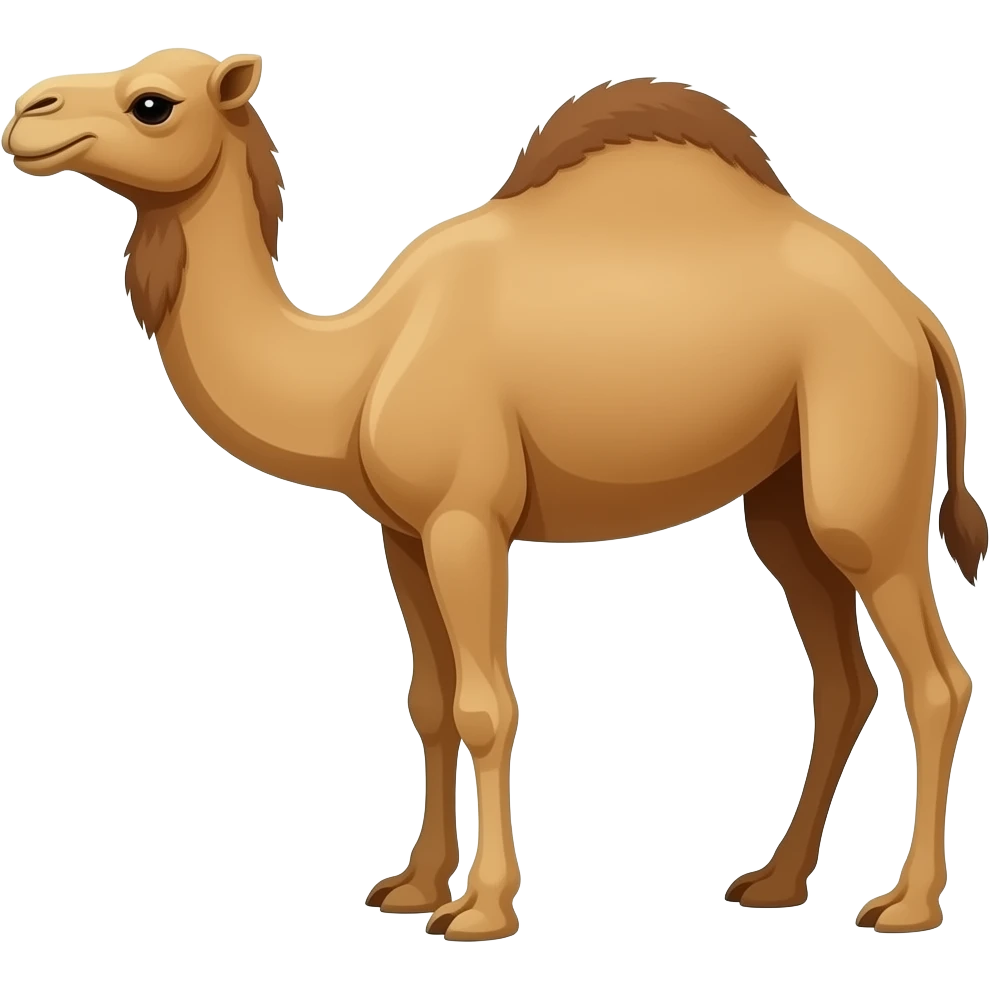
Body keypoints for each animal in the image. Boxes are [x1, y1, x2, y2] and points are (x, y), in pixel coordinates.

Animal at [3, 50, 983, 940]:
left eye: (153, 103)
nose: (26, 111)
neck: (355, 368)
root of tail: (916, 316)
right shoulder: (401, 532)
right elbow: (429, 704)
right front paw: (411, 888)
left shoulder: (465, 517)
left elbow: (486, 705)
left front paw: (481, 910)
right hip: (782, 500)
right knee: (842, 678)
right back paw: (775, 883)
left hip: (864, 481)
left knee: (936, 677)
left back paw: (907, 905)